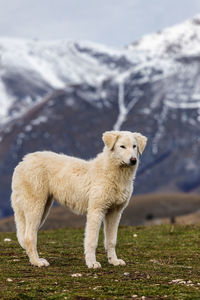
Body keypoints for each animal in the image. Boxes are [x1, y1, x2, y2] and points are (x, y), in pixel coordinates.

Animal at [10, 130, 147, 268]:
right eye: (122, 146)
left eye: (134, 146)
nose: (133, 160)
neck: (115, 174)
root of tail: (22, 162)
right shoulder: (96, 210)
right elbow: (92, 241)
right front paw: (92, 263)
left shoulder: (115, 212)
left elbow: (111, 241)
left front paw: (114, 261)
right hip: (36, 206)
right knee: (29, 236)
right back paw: (37, 262)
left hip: (44, 208)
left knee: (26, 235)